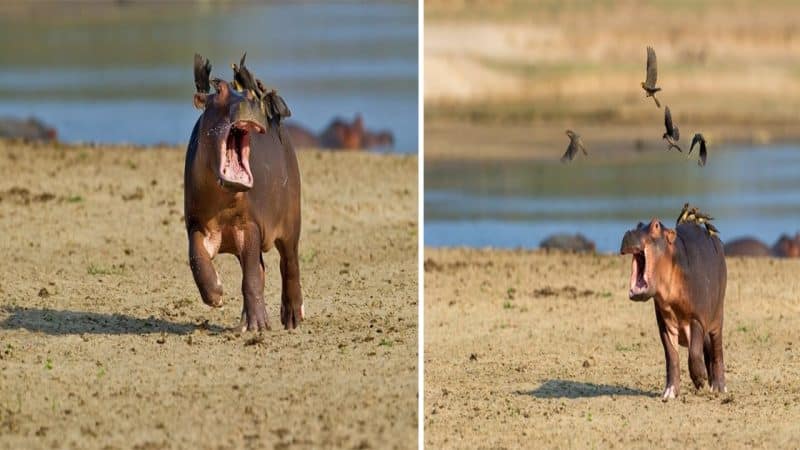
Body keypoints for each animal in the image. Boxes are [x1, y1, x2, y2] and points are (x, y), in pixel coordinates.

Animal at [184, 54, 304, 332]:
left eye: (250, 93)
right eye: (218, 89)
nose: (248, 100)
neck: (222, 201)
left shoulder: (250, 225)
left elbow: (250, 277)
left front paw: (259, 327)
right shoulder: (196, 223)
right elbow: (196, 257)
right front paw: (216, 295)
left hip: (292, 221)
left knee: (289, 263)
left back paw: (292, 319)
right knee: (262, 269)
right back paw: (245, 322)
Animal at [620, 218, 728, 400]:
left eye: (656, 225)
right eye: (638, 224)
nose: (630, 232)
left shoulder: (697, 318)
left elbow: (694, 352)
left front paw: (700, 379)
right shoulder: (665, 323)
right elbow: (672, 356)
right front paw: (669, 393)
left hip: (717, 316)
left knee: (717, 349)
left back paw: (719, 388)